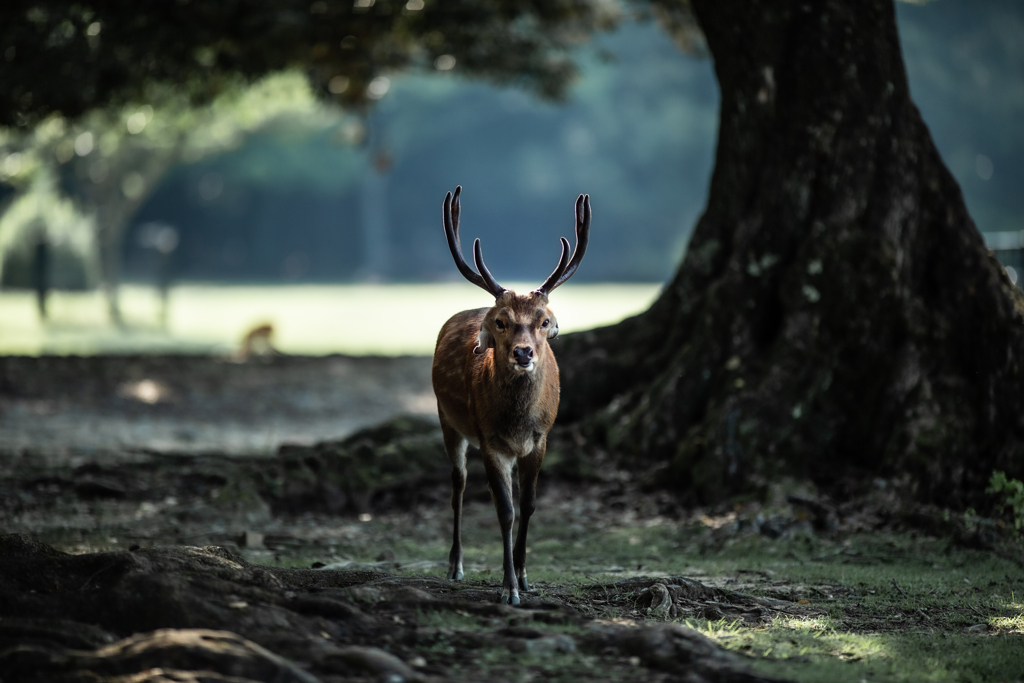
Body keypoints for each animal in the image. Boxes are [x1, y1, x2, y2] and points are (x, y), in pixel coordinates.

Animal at [432, 185, 593, 602]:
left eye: (544, 321)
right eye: (501, 322)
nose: (523, 353)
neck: (517, 423)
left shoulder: (541, 439)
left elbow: (530, 504)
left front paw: (523, 575)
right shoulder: (490, 441)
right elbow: (505, 511)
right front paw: (507, 588)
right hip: (447, 419)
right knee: (458, 485)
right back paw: (455, 565)